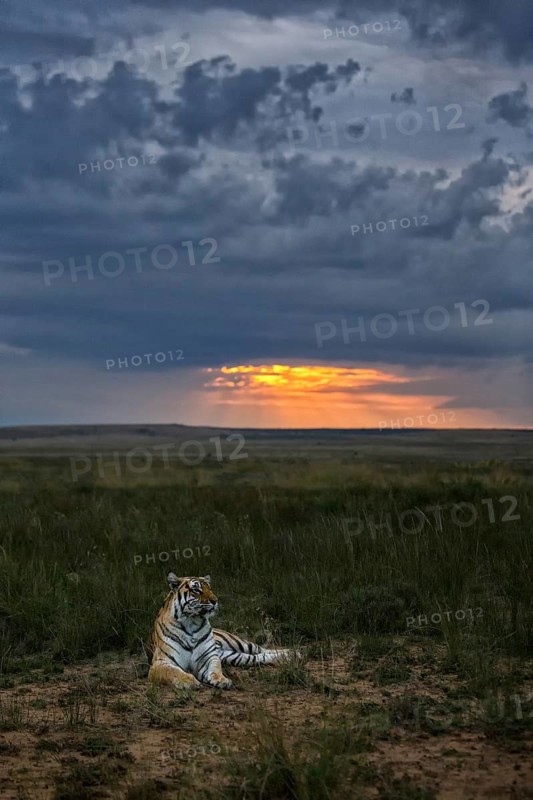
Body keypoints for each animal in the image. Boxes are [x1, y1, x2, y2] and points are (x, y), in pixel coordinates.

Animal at [146, 572, 296, 689]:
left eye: (210, 588)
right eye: (196, 590)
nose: (215, 601)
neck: (192, 622)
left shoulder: (209, 657)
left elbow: (215, 668)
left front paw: (221, 680)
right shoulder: (161, 663)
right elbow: (174, 672)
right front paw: (188, 681)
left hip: (239, 643)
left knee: (262, 649)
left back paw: (293, 653)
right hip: (234, 657)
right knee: (260, 656)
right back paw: (290, 657)